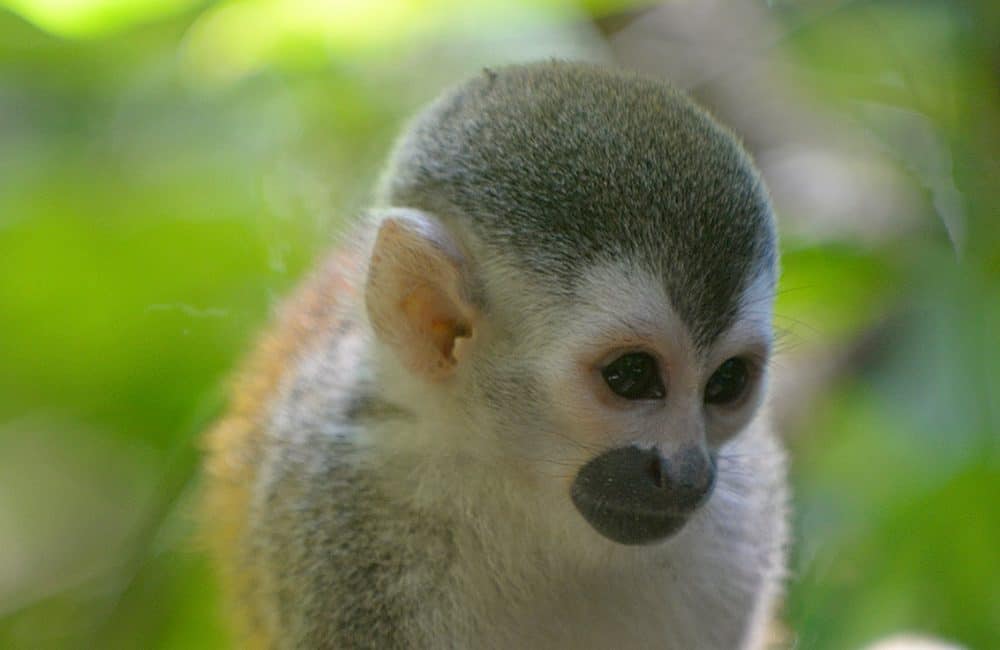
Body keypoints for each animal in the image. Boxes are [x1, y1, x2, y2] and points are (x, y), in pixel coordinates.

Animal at [203, 60, 788, 649]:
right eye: (631, 374)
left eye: (727, 381)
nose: (687, 473)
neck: (522, 498)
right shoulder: (349, 514)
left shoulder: (741, 531)